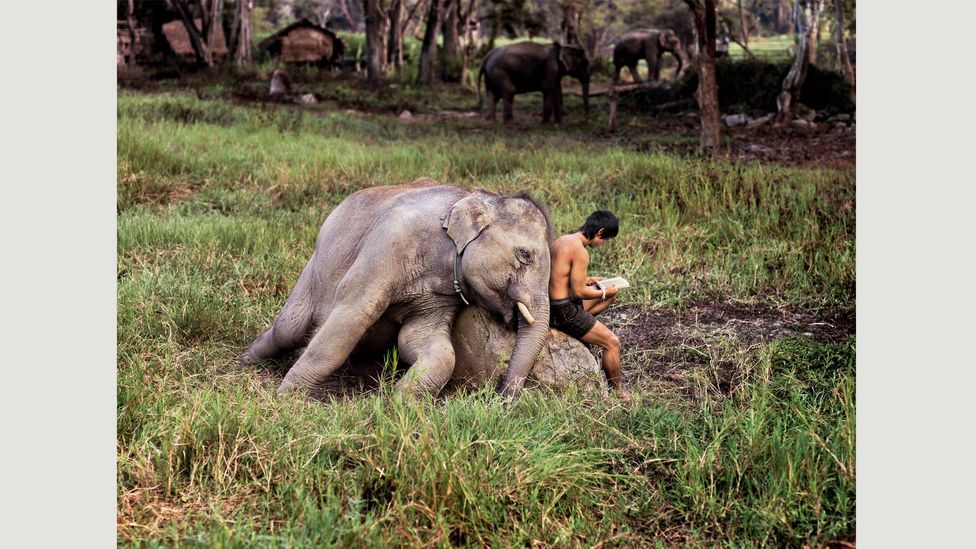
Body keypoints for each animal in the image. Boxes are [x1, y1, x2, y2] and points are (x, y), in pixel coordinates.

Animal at [240, 180, 552, 398]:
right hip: (315, 266)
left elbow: (425, 343)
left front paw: (398, 401)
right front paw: (286, 397)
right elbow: (353, 315)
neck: (466, 196)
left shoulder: (440, 295)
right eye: (525, 255)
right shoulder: (391, 241)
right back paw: (246, 360)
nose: (501, 396)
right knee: (289, 328)